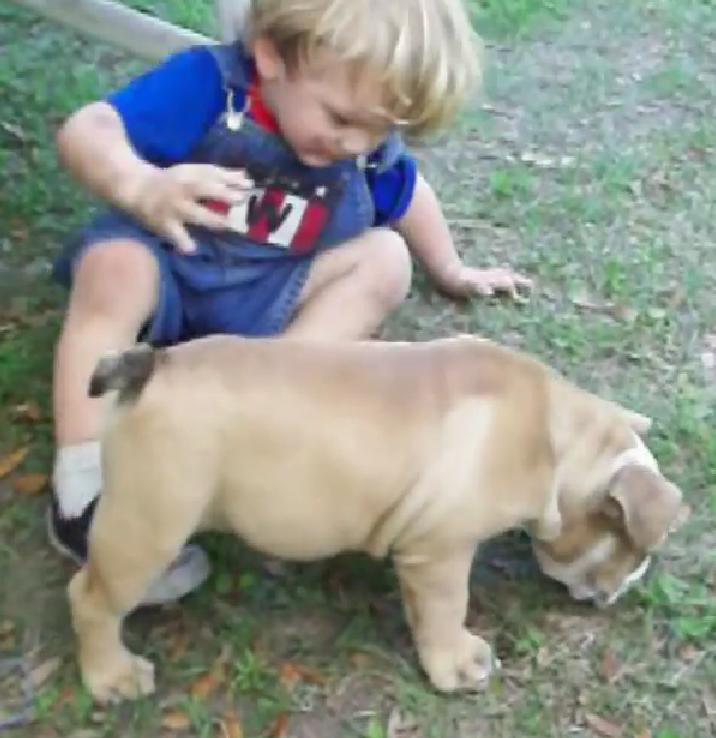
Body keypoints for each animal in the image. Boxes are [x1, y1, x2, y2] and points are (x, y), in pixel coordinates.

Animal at [68, 336, 688, 700]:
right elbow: (445, 610)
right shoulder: (439, 553)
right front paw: (456, 665)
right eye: (636, 550)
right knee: (92, 599)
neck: (557, 441)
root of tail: (154, 364)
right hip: (150, 524)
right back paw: (112, 677)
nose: (632, 582)